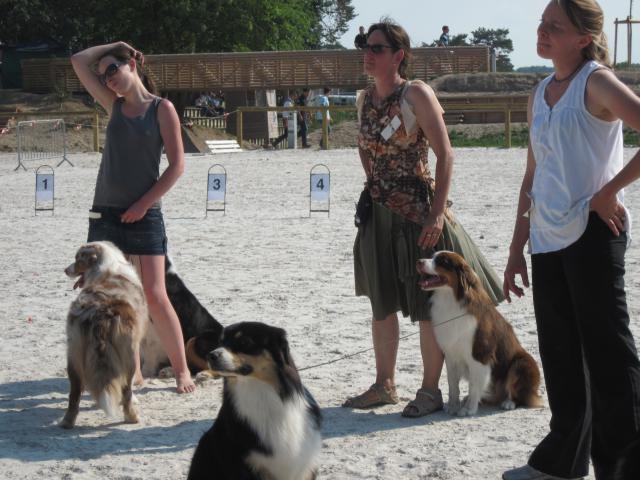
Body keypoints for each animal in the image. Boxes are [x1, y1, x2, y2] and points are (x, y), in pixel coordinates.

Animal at [60, 242, 148, 430]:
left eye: (78, 259)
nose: (65, 270)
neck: (105, 267)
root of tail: (99, 310)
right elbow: (128, 385)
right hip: (128, 354)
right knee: (126, 388)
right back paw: (132, 417)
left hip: (74, 352)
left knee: (74, 392)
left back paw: (67, 422)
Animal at [416, 251, 540, 416]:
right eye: (432, 256)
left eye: (442, 261)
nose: (418, 262)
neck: (451, 300)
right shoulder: (450, 354)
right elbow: (452, 384)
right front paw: (453, 406)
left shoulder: (479, 354)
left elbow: (474, 385)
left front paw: (469, 409)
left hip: (522, 362)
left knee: (519, 392)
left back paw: (509, 402)